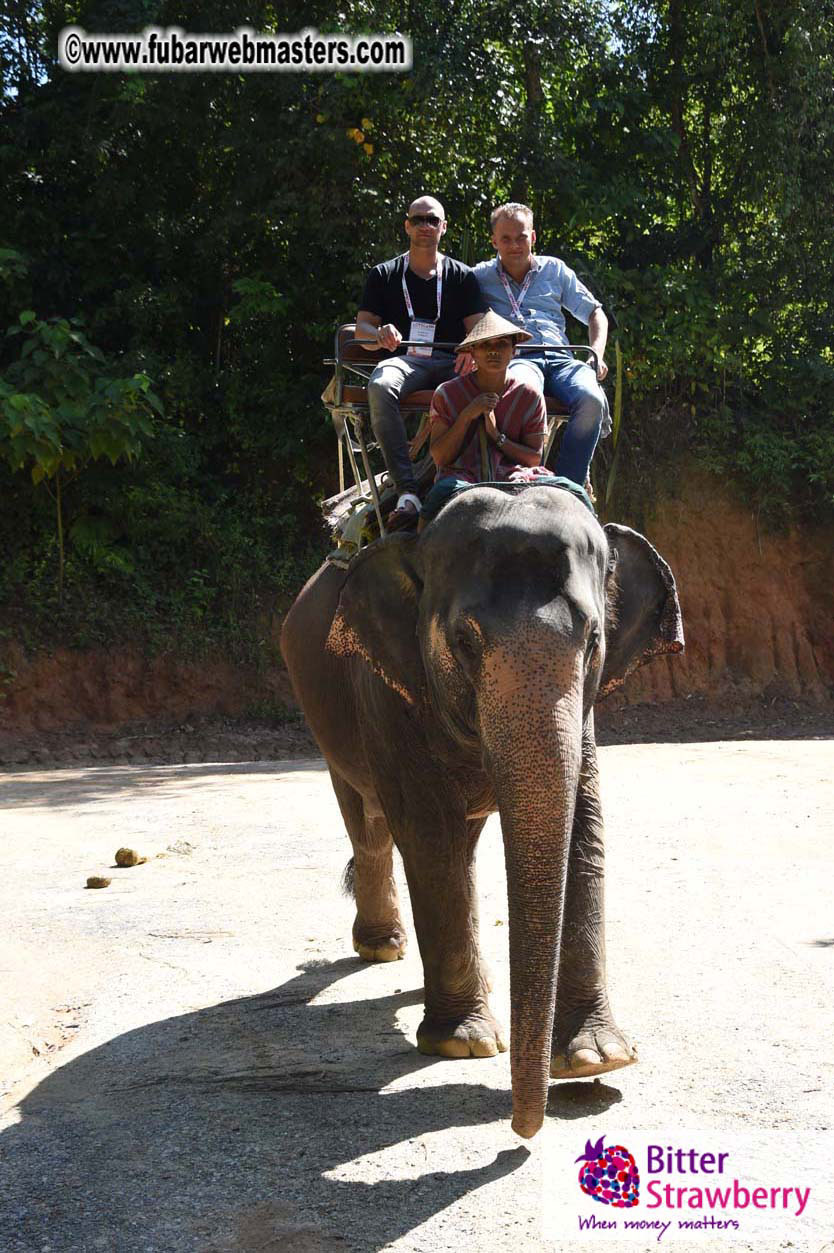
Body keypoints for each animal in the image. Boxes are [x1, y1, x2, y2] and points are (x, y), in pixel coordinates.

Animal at [281, 484, 683, 1138]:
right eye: (465, 642)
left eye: (594, 641)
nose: (523, 1132)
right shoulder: (385, 686)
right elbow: (428, 836)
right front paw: (464, 1045)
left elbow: (584, 831)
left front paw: (597, 1059)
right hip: (324, 711)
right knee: (371, 825)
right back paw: (383, 948)